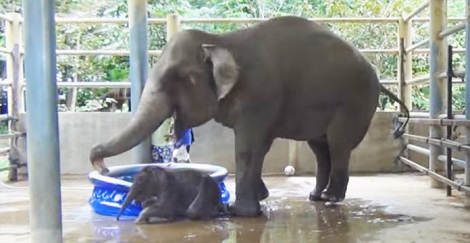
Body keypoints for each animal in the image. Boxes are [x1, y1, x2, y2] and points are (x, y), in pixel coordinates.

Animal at [90, 15, 410, 216]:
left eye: (174, 79)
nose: (102, 166)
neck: (218, 41)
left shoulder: (259, 96)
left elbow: (248, 147)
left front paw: (240, 212)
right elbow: (259, 147)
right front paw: (261, 200)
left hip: (355, 104)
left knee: (339, 144)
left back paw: (331, 199)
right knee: (321, 148)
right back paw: (316, 197)